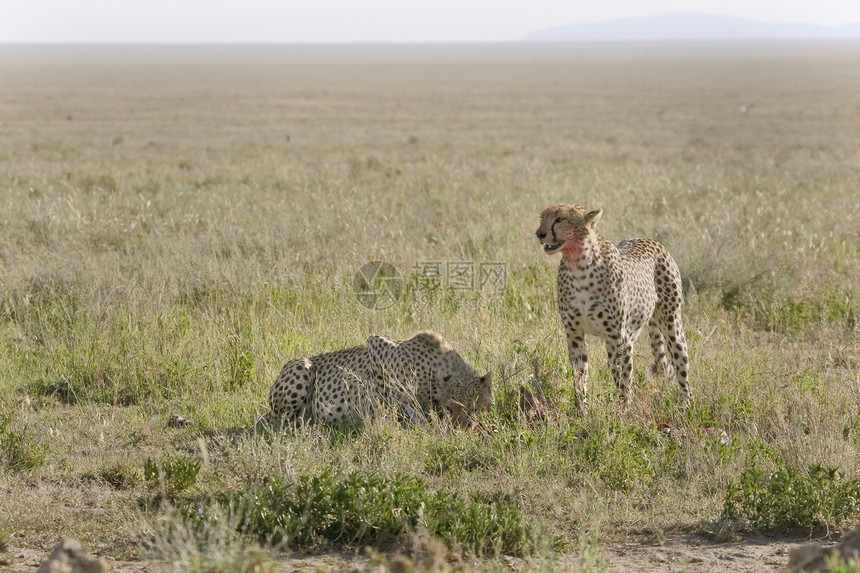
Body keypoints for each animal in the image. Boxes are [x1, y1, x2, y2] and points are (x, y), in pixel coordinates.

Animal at [266, 328, 490, 426]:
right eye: (450, 408)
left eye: (474, 410)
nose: (462, 427)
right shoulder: (376, 346)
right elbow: (384, 397)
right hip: (303, 367)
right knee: (281, 422)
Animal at [536, 204, 692, 406]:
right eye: (542, 218)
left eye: (560, 219)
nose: (539, 234)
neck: (578, 264)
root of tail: (649, 239)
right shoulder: (575, 335)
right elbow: (580, 376)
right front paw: (581, 408)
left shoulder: (620, 337)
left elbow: (624, 378)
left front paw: (624, 409)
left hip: (671, 324)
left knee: (681, 363)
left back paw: (685, 404)